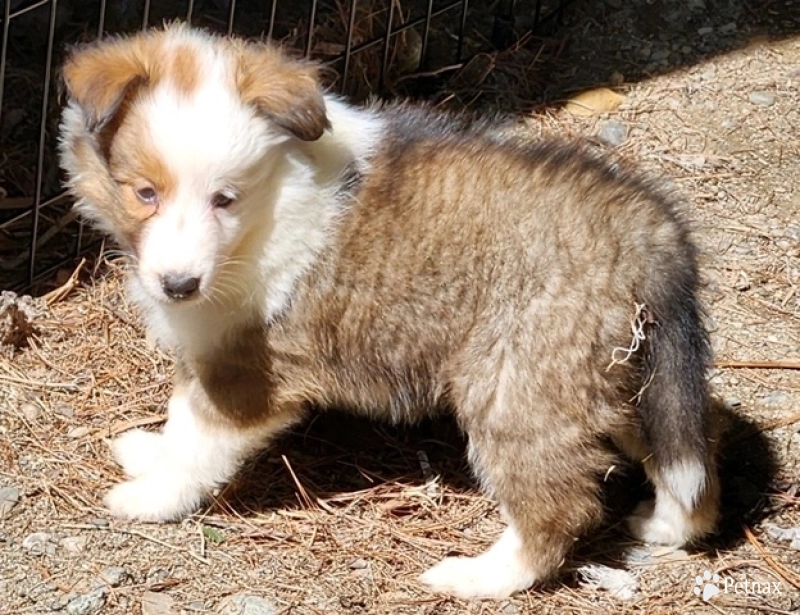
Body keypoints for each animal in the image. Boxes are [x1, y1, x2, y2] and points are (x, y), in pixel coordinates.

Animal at [56, 25, 720, 600]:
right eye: (145, 193)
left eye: (226, 198)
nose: (179, 285)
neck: (269, 204)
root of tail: (645, 226)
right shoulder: (208, 343)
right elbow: (179, 414)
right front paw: (150, 451)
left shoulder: (247, 374)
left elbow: (198, 439)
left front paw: (149, 497)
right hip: (617, 375)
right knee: (689, 457)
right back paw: (667, 526)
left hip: (517, 387)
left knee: (558, 506)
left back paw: (476, 577)